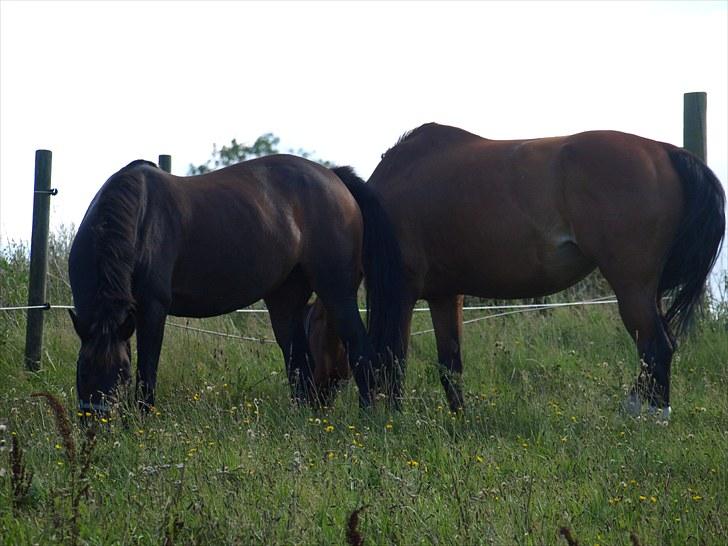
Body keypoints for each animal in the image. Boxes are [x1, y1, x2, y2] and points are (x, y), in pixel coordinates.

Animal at [68, 154, 404, 412]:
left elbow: (147, 372)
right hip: (285, 300)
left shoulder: (152, 309)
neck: (139, 218)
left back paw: (368, 419)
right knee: (300, 365)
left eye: (121, 373)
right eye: (81, 369)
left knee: (361, 354)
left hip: (337, 293)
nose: (95, 421)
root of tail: (334, 177)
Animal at [302, 121, 724, 414]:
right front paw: (459, 419)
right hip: (647, 291)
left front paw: (391, 419)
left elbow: (393, 359)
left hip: (631, 287)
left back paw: (645, 415)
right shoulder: (444, 296)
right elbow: (449, 365)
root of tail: (665, 151)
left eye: (312, 335)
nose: (311, 400)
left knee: (657, 348)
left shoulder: (401, 293)